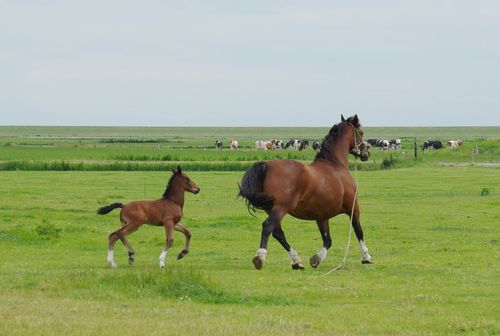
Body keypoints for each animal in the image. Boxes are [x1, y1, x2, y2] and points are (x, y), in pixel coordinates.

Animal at [240, 115, 374, 270]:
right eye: (361, 132)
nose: (366, 153)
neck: (335, 164)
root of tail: (266, 165)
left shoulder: (322, 216)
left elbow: (327, 240)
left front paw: (316, 259)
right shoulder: (353, 208)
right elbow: (358, 231)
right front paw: (366, 257)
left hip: (271, 209)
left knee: (278, 233)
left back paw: (296, 261)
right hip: (281, 208)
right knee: (268, 227)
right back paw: (259, 257)